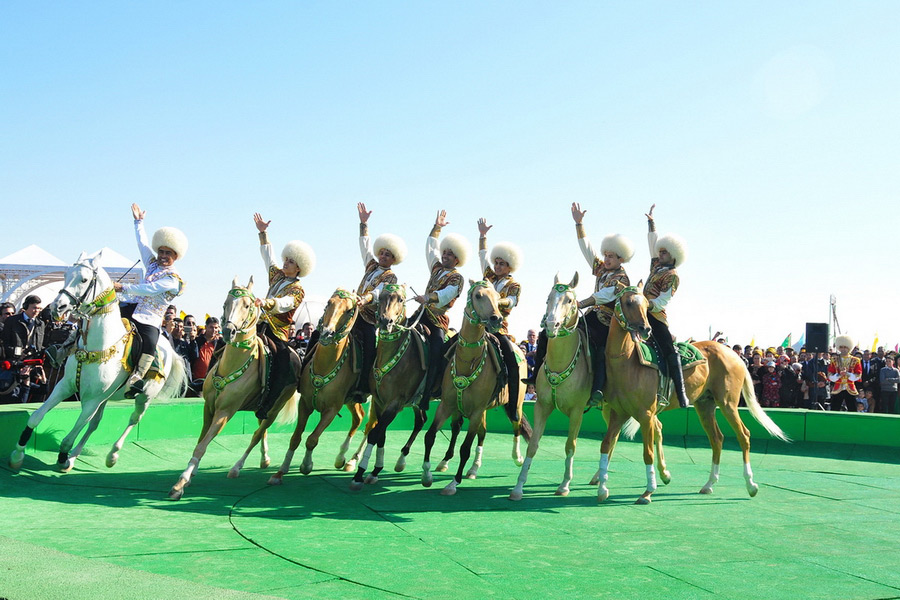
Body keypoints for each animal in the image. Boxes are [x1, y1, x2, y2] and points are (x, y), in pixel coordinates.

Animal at [7, 252, 187, 474]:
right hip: (105, 398)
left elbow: (70, 435)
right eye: (65, 275)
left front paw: (62, 457)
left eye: (84, 279)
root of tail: (170, 348)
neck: (97, 345)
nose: (57, 307)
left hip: (144, 397)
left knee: (133, 419)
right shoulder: (64, 387)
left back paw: (111, 456)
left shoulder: (92, 400)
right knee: (94, 424)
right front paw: (17, 455)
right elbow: (36, 417)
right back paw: (73, 458)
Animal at [171, 280, 304, 502]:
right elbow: (200, 440)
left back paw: (236, 468)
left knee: (257, 434)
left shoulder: (225, 411)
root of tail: (296, 355)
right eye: (226, 302)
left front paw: (180, 483)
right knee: (261, 430)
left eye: (247, 305)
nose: (227, 332)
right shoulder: (208, 407)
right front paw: (191, 472)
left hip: (276, 406)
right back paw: (265, 459)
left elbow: (203, 445)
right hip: (262, 407)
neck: (232, 364)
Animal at [266, 288, 368, 486]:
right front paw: (280, 473)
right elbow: (295, 438)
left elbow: (312, 439)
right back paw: (342, 459)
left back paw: (353, 459)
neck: (325, 365)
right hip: (351, 400)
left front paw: (306, 465)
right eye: (329, 303)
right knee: (359, 418)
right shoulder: (305, 403)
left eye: (349, 310)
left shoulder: (331, 409)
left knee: (370, 425)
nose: (327, 333)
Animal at [420, 282, 532, 496]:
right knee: (481, 433)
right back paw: (471, 468)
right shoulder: (447, 405)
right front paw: (427, 475)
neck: (468, 360)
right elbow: (430, 436)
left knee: (516, 425)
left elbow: (465, 448)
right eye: (478, 295)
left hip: (515, 404)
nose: (496, 319)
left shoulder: (476, 411)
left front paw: (452, 484)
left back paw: (517, 457)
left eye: (498, 298)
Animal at [596, 284, 788, 504]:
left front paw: (648, 492)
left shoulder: (646, 415)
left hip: (728, 403)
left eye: (645, 304)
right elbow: (606, 445)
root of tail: (734, 355)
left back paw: (751, 485)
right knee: (717, 438)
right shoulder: (617, 414)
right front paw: (602, 488)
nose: (646, 329)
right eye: (628, 302)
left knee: (744, 435)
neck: (626, 361)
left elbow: (648, 453)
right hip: (705, 405)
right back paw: (709, 484)